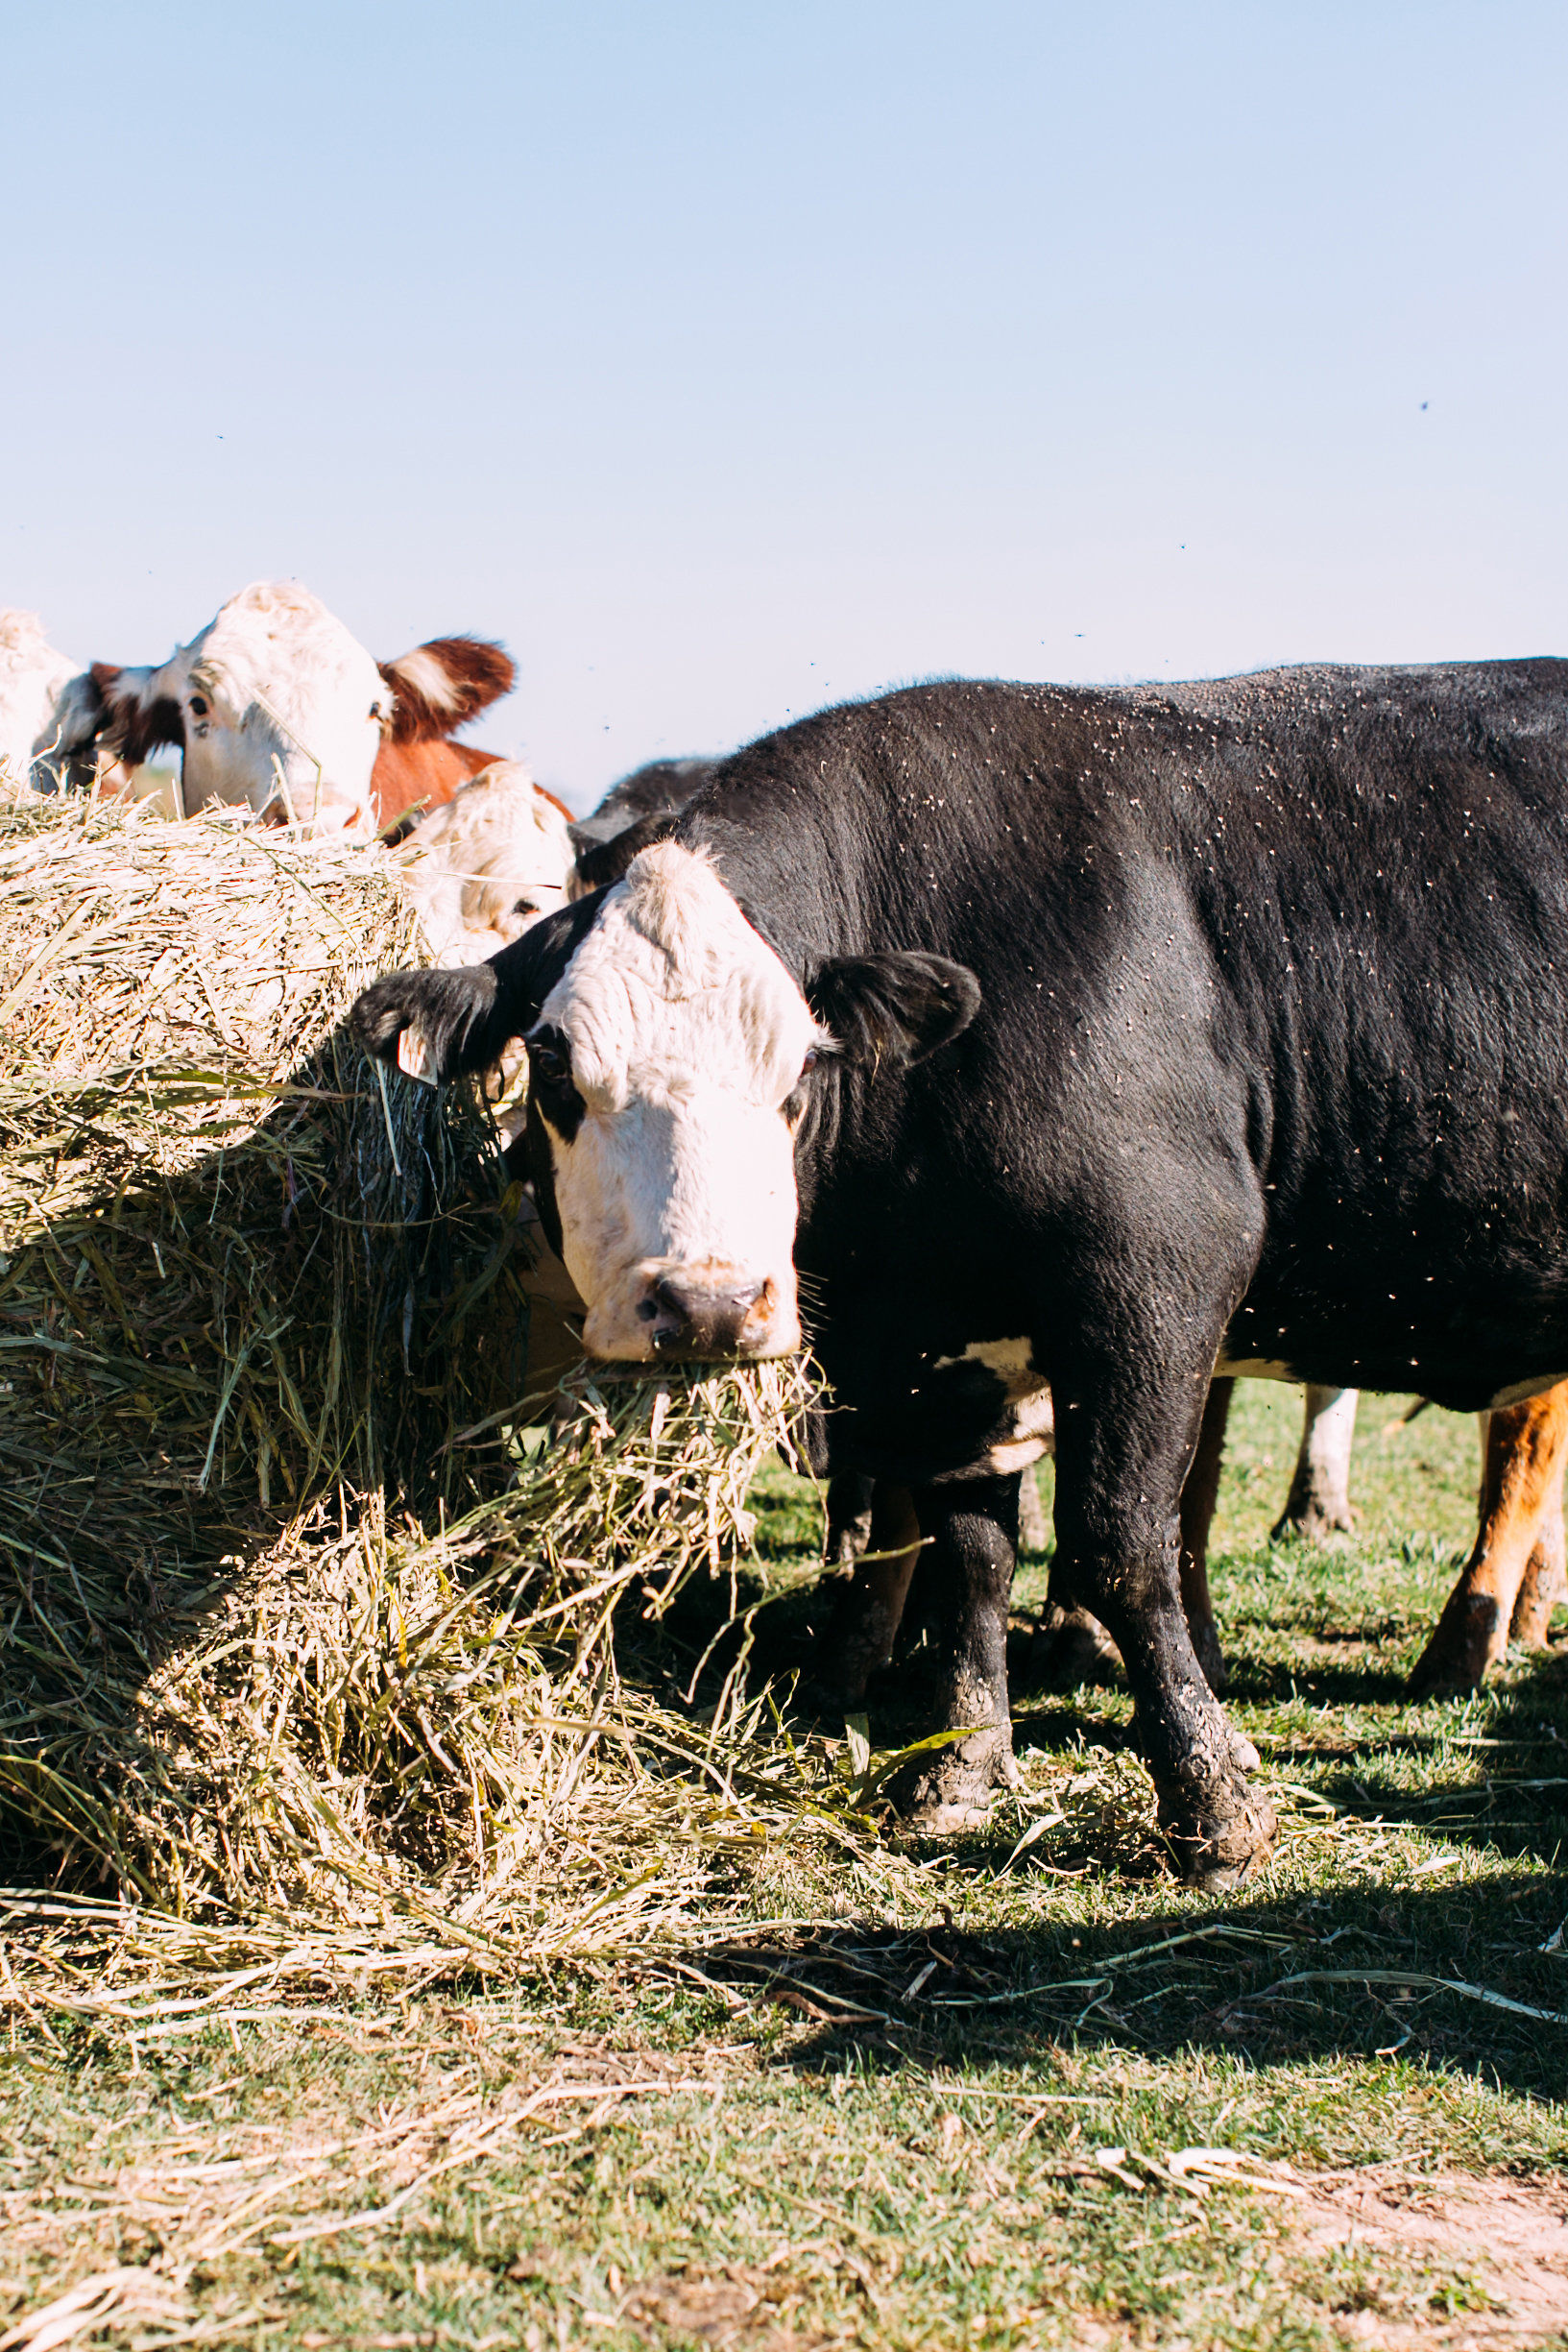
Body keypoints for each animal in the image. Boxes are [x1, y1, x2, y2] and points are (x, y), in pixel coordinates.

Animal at [353, 662, 1568, 1889]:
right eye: (555, 1066)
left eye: (801, 1062)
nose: (705, 1303)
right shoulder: (936, 1344)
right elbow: (969, 1555)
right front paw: (959, 1768)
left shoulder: (1158, 1281)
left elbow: (1121, 1546)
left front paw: (1209, 1803)